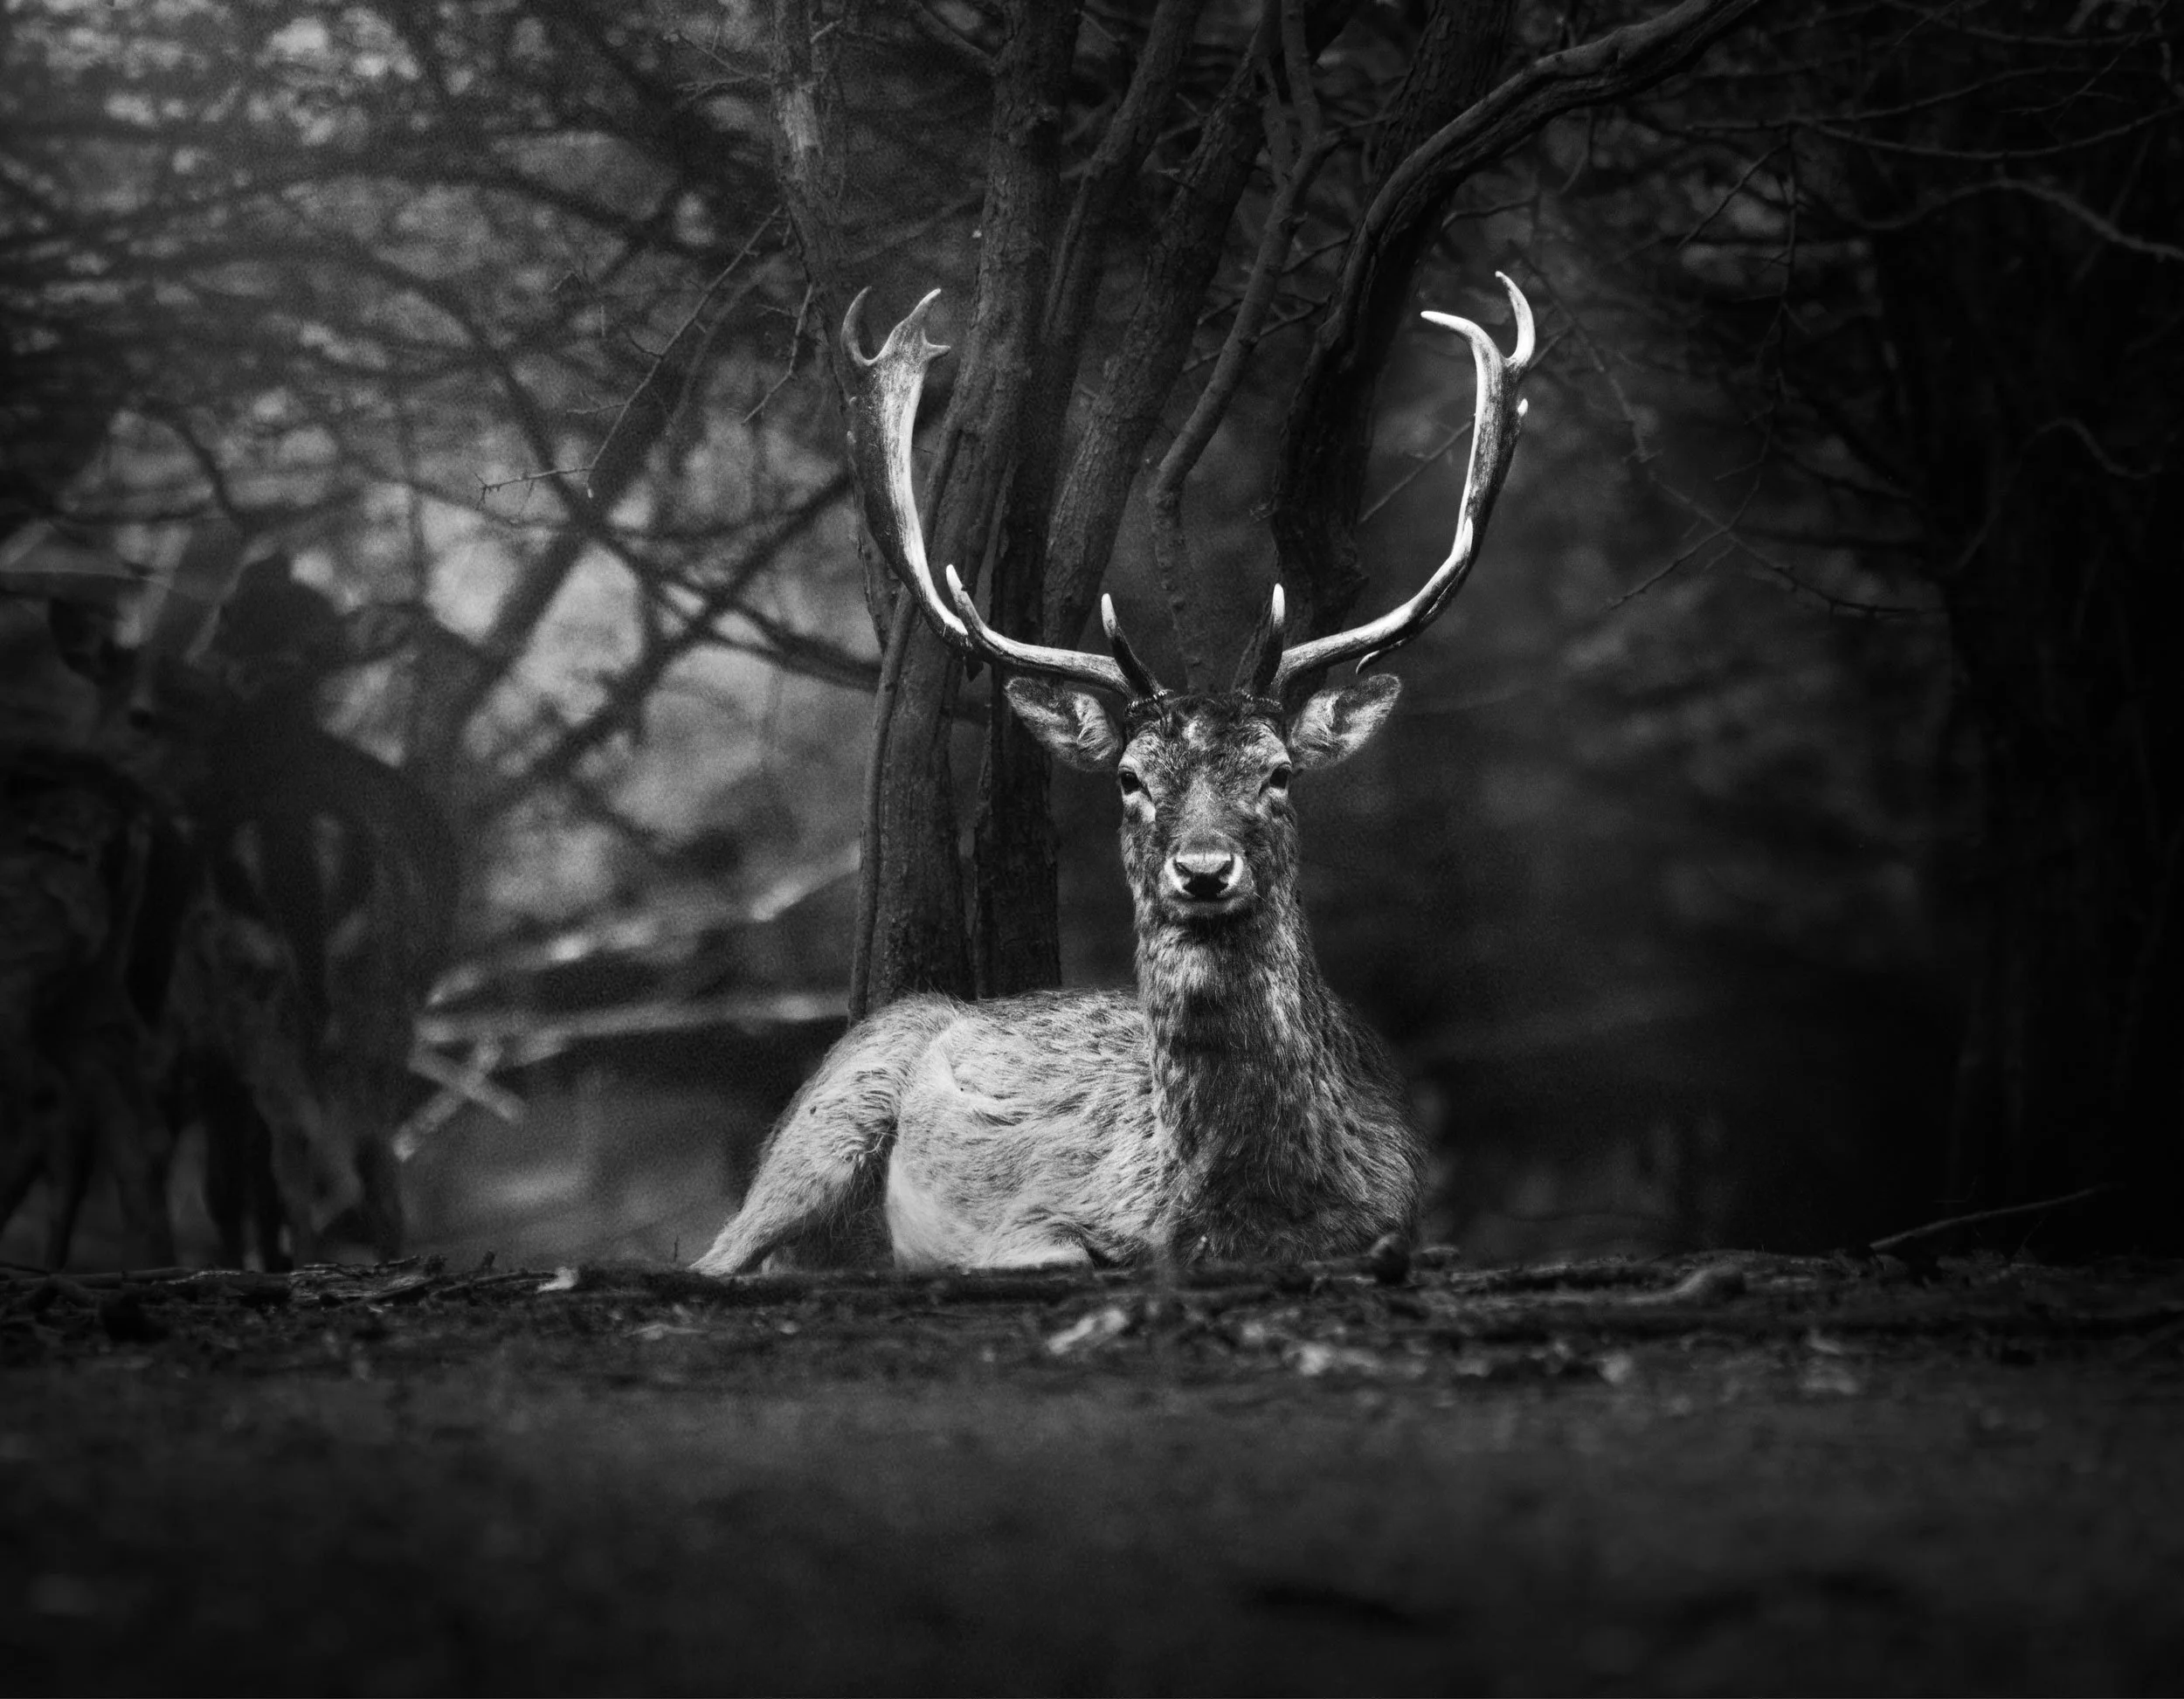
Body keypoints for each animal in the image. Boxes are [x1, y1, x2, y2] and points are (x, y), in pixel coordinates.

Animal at [693, 274, 1533, 1276]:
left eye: (1279, 774)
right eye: (1130, 777)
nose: (1202, 869)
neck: (1240, 1209)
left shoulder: (1403, 1206)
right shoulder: (1033, 1218)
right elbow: (1055, 1250)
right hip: (824, 1119)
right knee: (714, 1250)